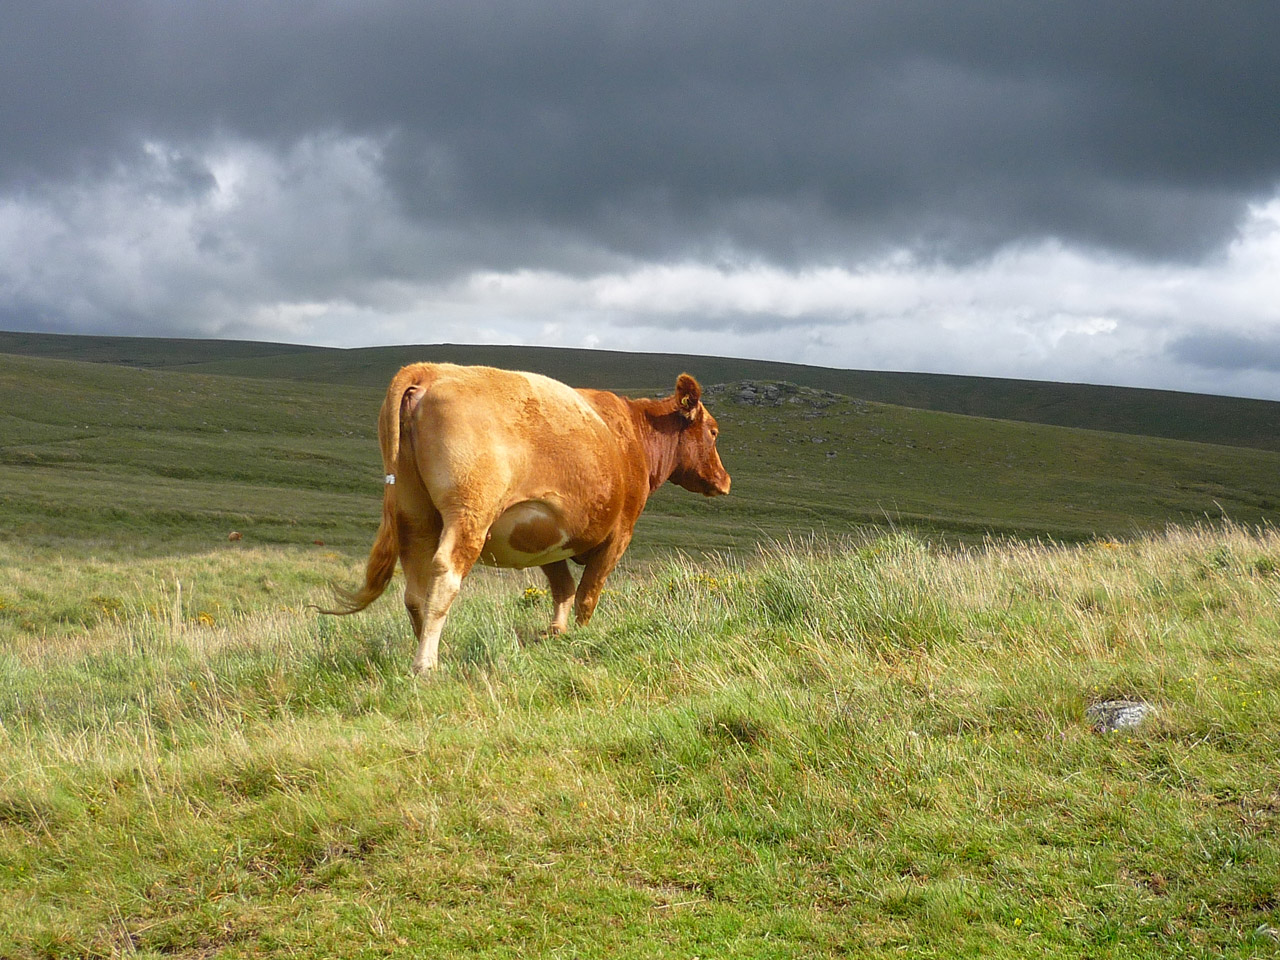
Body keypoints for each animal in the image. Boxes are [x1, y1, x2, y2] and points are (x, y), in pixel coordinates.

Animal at [325, 363, 732, 670]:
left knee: (415, 591)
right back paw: (426, 663)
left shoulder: (544, 538)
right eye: (713, 432)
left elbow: (563, 589)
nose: (725, 480)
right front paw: (581, 638)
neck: (634, 435)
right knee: (444, 576)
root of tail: (432, 370)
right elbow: (587, 595)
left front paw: (557, 635)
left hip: (414, 515)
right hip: (469, 513)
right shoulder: (619, 535)